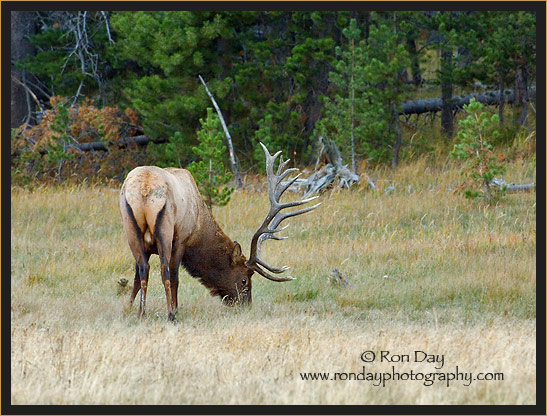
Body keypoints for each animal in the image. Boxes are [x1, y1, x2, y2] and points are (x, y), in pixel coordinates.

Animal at [117, 141, 318, 320]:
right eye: (244, 279)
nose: (246, 304)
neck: (199, 225)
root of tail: (145, 188)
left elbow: (137, 277)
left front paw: (128, 308)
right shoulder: (181, 239)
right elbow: (174, 276)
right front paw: (174, 309)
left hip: (130, 230)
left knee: (143, 269)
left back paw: (141, 313)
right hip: (164, 231)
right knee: (164, 271)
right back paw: (170, 315)